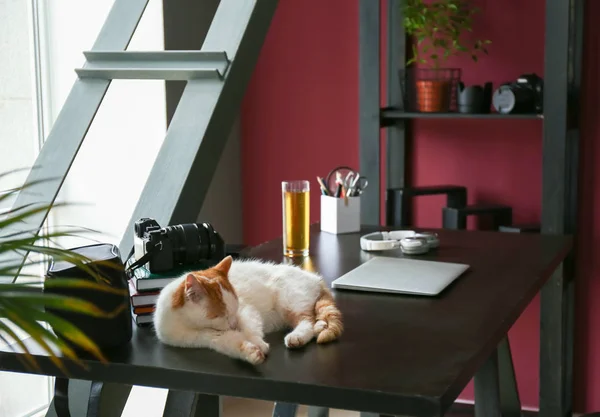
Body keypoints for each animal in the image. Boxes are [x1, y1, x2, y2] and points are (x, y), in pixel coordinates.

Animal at [152, 254, 344, 364]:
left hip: (288, 300)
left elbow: (250, 329)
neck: (186, 325)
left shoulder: (247, 310)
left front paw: (258, 343)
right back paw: (320, 326)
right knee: (314, 320)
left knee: (307, 320)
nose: (233, 324)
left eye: (234, 310)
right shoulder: (210, 338)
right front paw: (250, 353)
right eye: (219, 315)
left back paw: (297, 336)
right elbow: (232, 344)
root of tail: (315, 278)